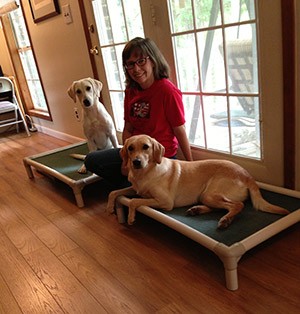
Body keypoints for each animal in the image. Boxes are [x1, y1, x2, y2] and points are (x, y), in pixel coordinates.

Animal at [107, 134, 288, 228]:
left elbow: (134, 201)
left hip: (210, 193)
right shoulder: (135, 188)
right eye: (130, 148)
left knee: (237, 205)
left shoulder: (165, 202)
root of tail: (248, 175)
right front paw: (109, 207)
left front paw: (131, 217)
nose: (136, 162)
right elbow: (114, 192)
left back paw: (226, 219)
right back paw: (197, 210)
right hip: (205, 196)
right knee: (220, 207)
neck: (144, 173)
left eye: (146, 147)